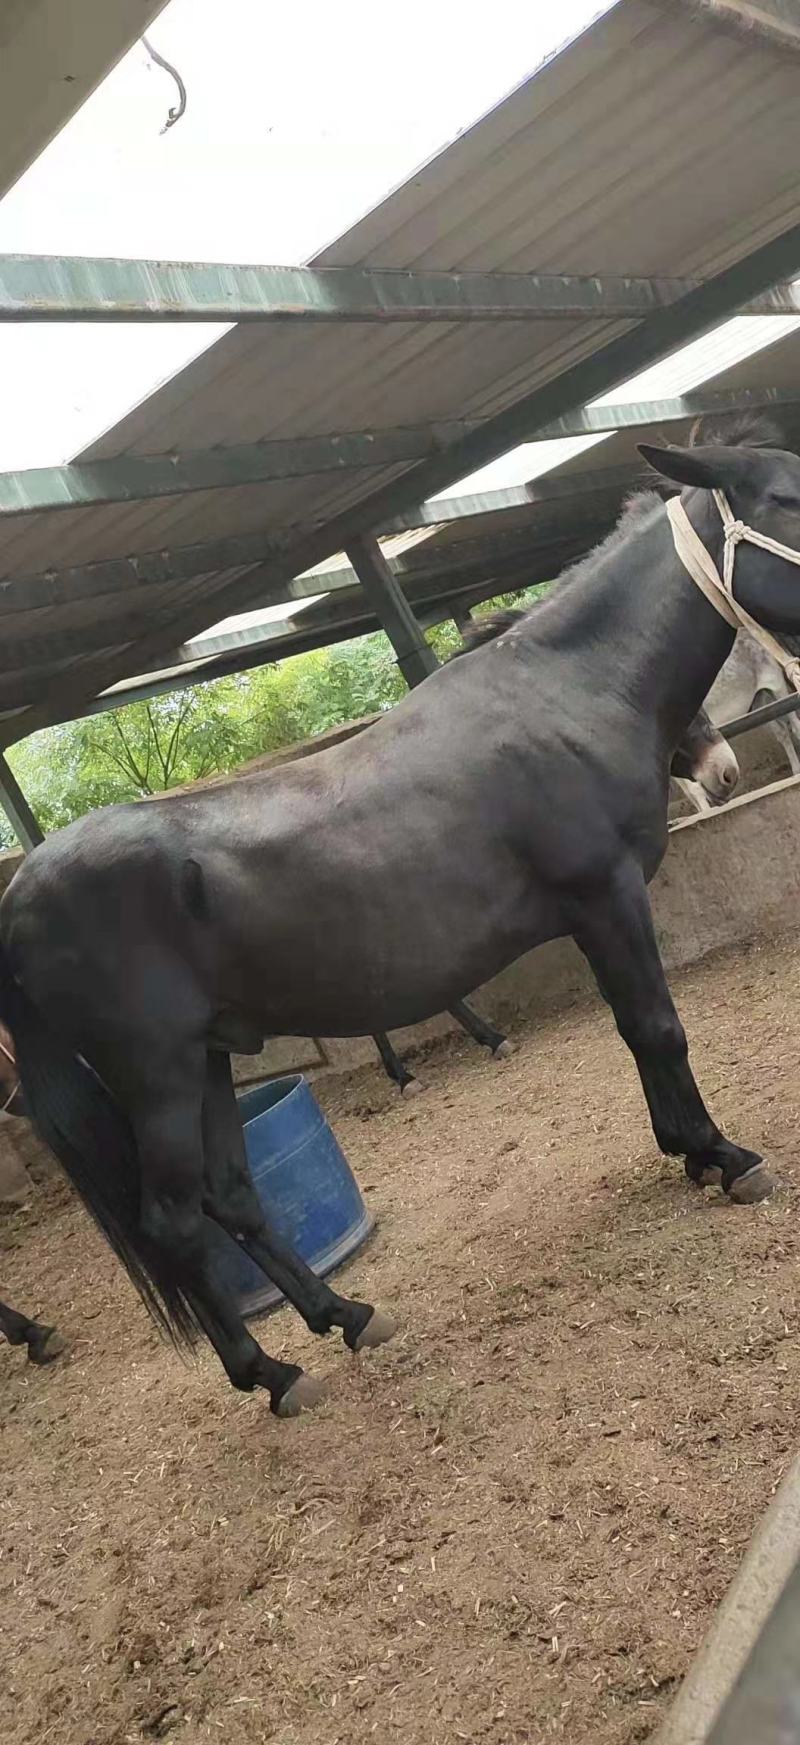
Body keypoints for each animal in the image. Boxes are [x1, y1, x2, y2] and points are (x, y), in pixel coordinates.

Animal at [1, 421, 796, 1421]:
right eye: (786, 498)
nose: (724, 771)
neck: (561, 695)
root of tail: (23, 891)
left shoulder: (594, 911)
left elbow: (633, 1031)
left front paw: (685, 1153)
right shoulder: (609, 893)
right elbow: (659, 1027)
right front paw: (722, 1156)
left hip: (210, 1058)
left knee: (233, 1199)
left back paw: (345, 1315)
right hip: (159, 1076)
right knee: (175, 1224)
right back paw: (273, 1374)